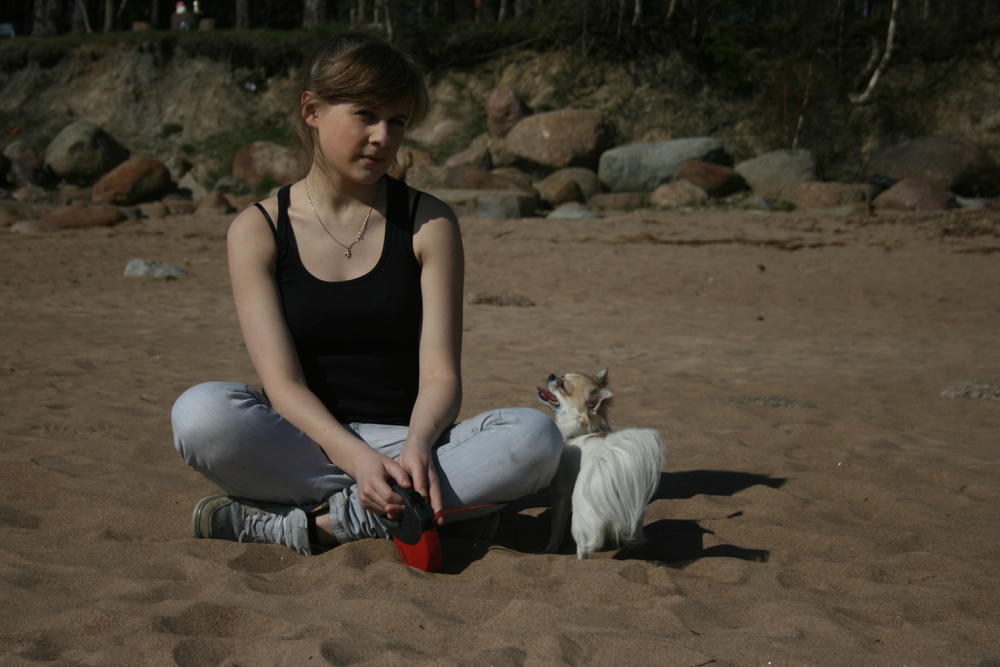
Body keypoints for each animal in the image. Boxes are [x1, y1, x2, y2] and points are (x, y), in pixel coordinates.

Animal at [537, 369, 665, 559]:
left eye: (564, 386)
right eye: (562, 375)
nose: (552, 375)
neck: (580, 431)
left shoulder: (561, 495)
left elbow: (556, 529)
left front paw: (549, 550)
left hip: (581, 519)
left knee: (583, 548)